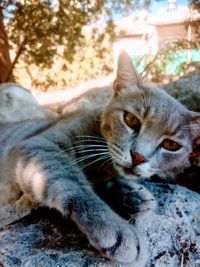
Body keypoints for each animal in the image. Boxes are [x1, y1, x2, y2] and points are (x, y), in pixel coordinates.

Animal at [0, 51, 199, 266]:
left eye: (171, 145)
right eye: (131, 120)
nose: (138, 157)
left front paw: (132, 193)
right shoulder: (38, 146)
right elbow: (71, 182)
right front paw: (114, 226)